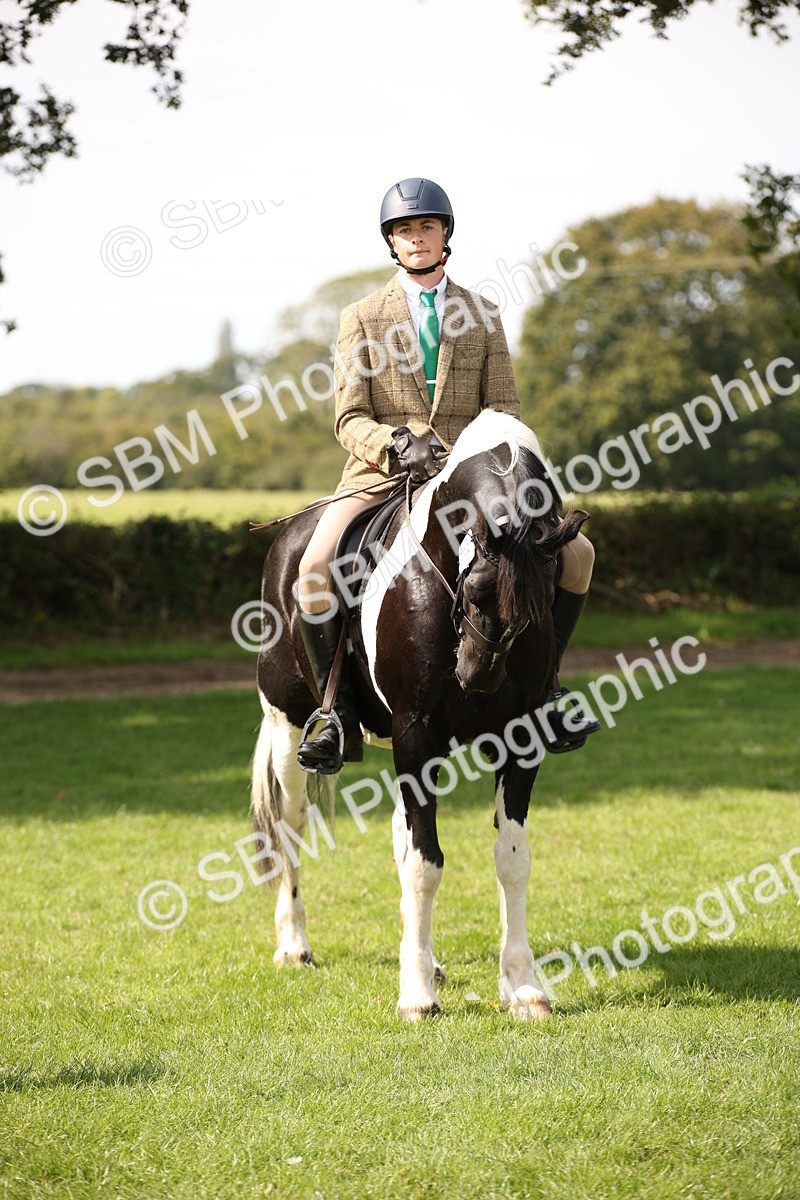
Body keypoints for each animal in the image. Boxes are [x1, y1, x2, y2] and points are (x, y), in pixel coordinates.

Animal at [250, 409, 588, 1020]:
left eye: (543, 599)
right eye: (473, 587)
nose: (476, 677)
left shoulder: (520, 738)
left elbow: (511, 858)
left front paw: (524, 986)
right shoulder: (417, 736)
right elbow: (425, 864)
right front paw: (417, 997)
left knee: (400, 834)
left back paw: (425, 958)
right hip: (289, 728)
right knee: (290, 826)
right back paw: (294, 945)